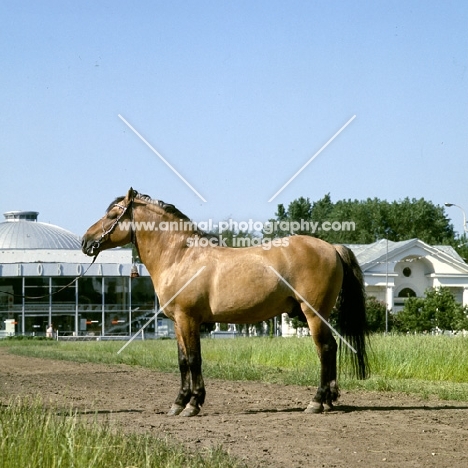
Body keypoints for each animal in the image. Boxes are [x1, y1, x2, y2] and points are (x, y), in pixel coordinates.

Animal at [83, 186, 370, 416]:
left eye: (112, 215)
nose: (86, 241)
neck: (180, 257)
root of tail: (332, 247)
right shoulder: (177, 322)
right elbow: (182, 361)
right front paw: (178, 403)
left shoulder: (189, 319)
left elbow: (194, 359)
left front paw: (193, 404)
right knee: (330, 349)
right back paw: (329, 400)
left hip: (314, 314)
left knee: (326, 349)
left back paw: (316, 402)